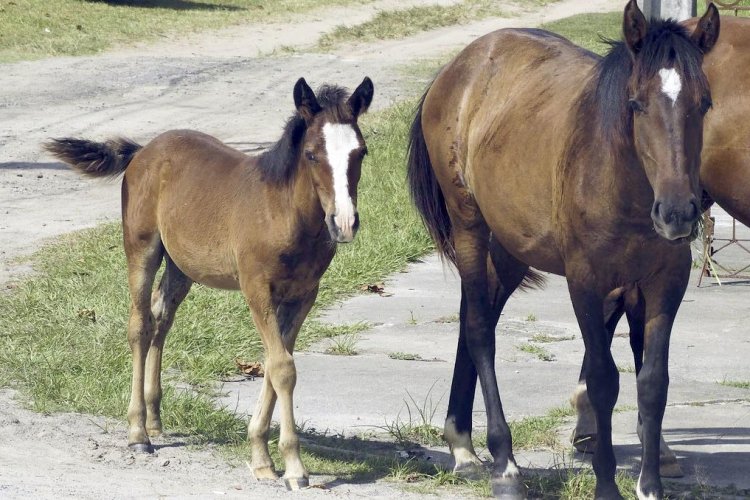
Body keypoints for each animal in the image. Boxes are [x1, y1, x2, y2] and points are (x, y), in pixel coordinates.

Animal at [45, 76, 374, 490]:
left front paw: (261, 458)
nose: (343, 223)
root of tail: (143, 151)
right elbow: (283, 367)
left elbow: (275, 364)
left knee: (161, 319)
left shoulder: (303, 296)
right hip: (141, 248)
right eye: (312, 154)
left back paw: (155, 419)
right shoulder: (256, 289)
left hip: (182, 267)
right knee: (139, 324)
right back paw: (138, 433)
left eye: (360, 153)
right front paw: (294, 468)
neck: (283, 212)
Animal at [408, 1, 720, 498]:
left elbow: (653, 383)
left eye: (703, 104)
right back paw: (502, 464)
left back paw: (463, 446)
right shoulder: (587, 284)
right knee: (479, 330)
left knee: (477, 316)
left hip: (511, 249)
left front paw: (649, 485)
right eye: (637, 104)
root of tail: (459, 67)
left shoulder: (665, 284)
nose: (677, 213)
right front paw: (606, 484)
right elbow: (603, 380)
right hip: (470, 227)